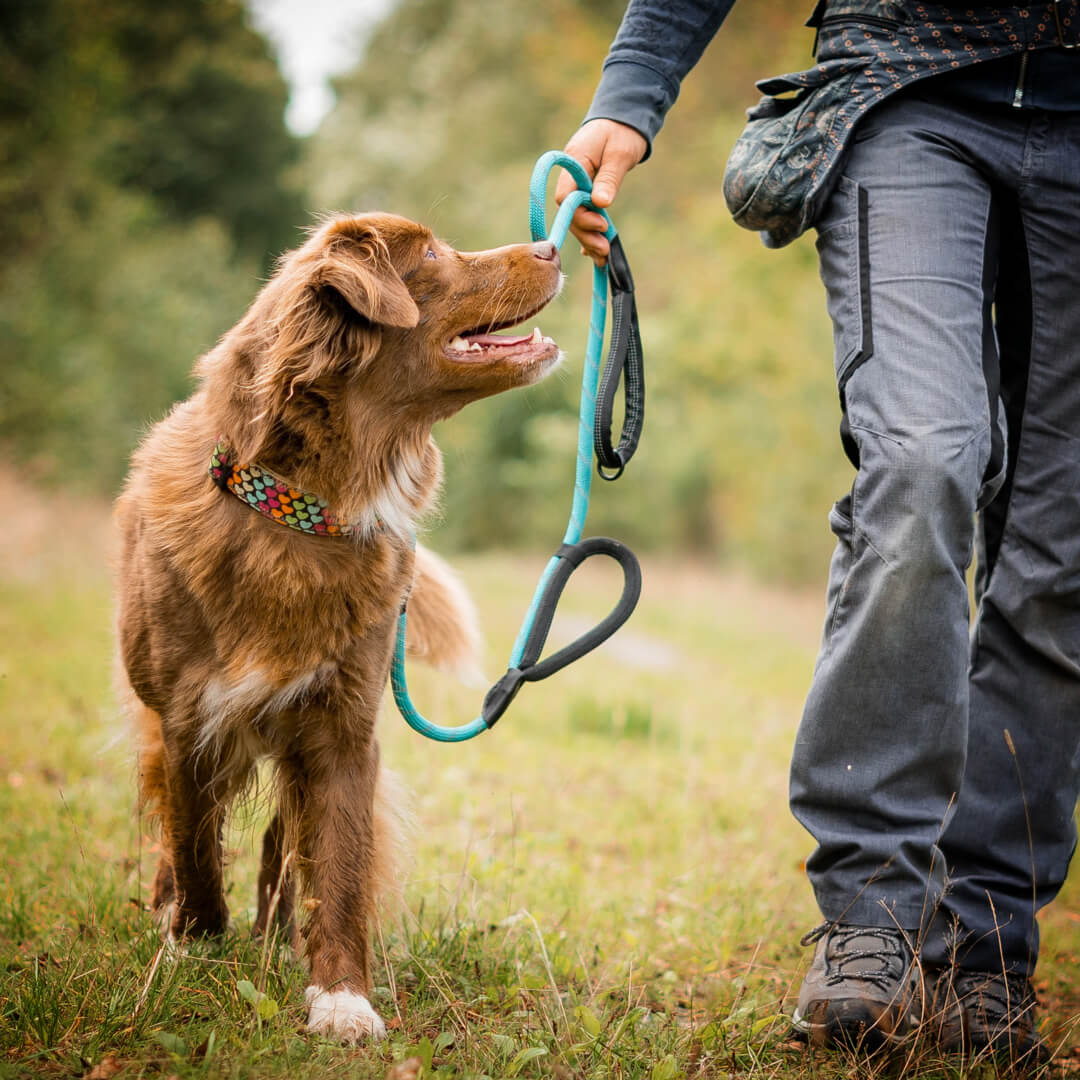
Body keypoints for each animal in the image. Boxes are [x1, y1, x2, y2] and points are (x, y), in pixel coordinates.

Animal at [113, 210, 561, 1036]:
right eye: (432, 253)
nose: (554, 243)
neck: (302, 509)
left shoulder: (342, 726)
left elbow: (340, 864)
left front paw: (340, 995)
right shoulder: (190, 720)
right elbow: (194, 846)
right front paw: (193, 943)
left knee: (286, 843)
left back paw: (278, 932)